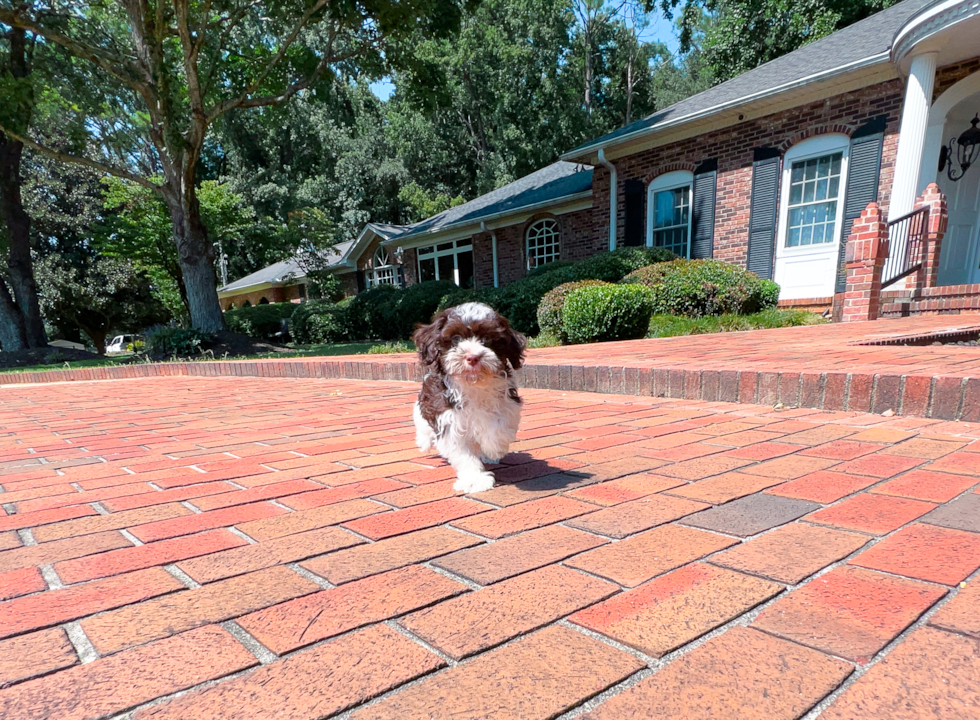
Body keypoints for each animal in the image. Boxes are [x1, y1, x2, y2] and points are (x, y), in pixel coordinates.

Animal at [410, 300, 524, 492]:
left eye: (487, 340)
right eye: (456, 338)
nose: (472, 357)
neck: (473, 384)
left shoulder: (508, 402)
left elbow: (498, 425)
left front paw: (494, 448)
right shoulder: (446, 416)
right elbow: (463, 454)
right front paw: (475, 480)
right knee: (423, 425)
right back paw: (424, 441)